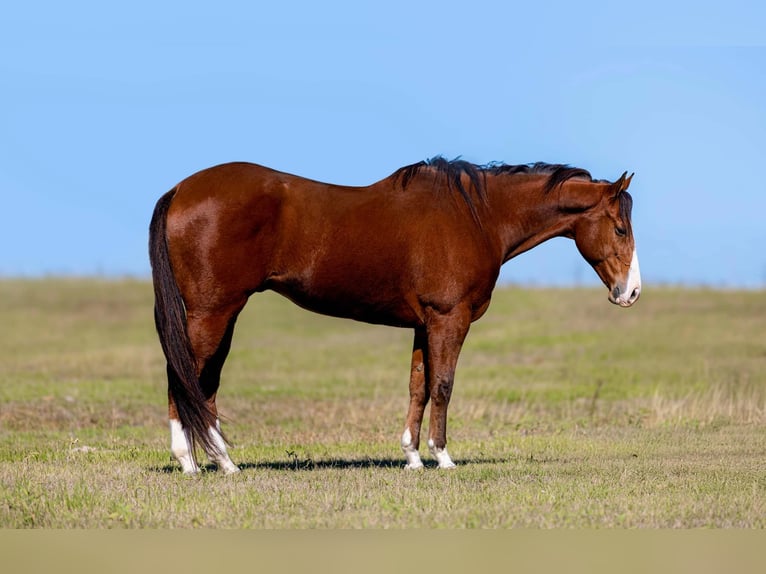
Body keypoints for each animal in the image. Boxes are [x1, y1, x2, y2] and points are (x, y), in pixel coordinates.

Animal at [149, 156, 641, 474]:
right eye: (620, 228)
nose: (631, 292)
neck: (477, 217)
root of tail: (180, 190)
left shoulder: (425, 325)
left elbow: (417, 387)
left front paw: (413, 458)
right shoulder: (449, 318)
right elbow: (443, 386)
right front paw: (443, 458)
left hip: (222, 314)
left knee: (203, 383)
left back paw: (216, 461)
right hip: (212, 313)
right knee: (183, 378)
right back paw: (199, 462)